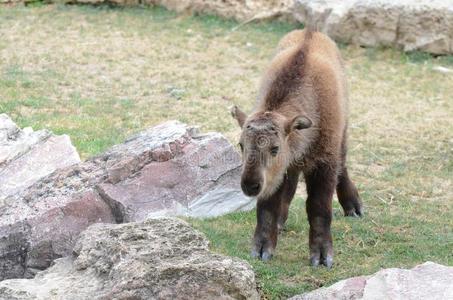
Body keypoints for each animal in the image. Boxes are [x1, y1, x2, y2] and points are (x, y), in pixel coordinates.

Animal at [231, 28, 362, 268]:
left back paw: (353, 206)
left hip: (343, 133)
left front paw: (322, 255)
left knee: (343, 164)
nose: (250, 185)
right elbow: (267, 208)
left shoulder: (324, 164)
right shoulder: (274, 176)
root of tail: (311, 31)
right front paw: (262, 248)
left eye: (275, 148)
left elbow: (319, 208)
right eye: (241, 144)